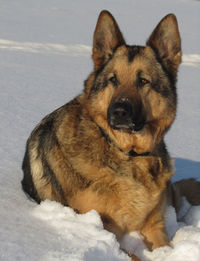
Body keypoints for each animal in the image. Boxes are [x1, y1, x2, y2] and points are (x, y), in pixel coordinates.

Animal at [21, 9, 198, 258]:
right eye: (113, 80)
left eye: (143, 81)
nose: (119, 111)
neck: (128, 154)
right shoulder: (103, 228)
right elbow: (133, 255)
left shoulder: (156, 228)